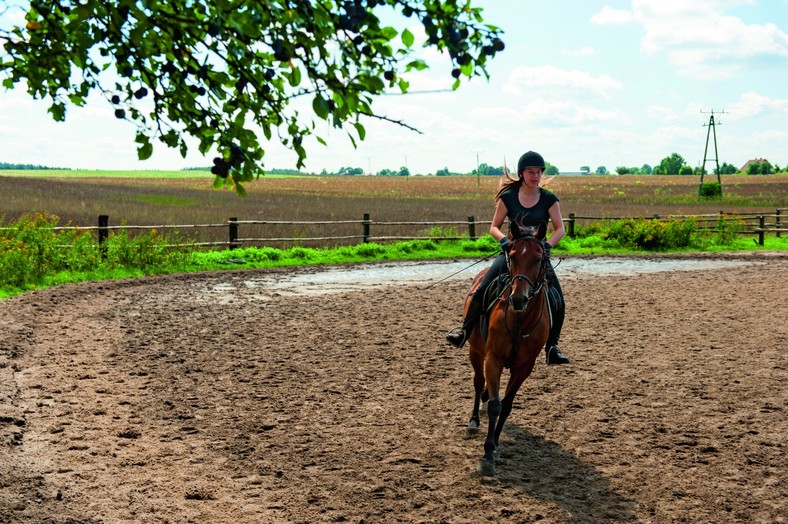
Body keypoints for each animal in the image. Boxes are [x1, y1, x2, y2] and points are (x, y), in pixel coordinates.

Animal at [462, 225, 548, 474]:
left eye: (538, 258)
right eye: (513, 255)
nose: (518, 299)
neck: (520, 321)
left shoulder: (524, 368)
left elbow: (507, 406)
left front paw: (496, 447)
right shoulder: (494, 359)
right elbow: (495, 405)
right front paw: (487, 455)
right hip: (475, 351)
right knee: (478, 382)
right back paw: (473, 421)